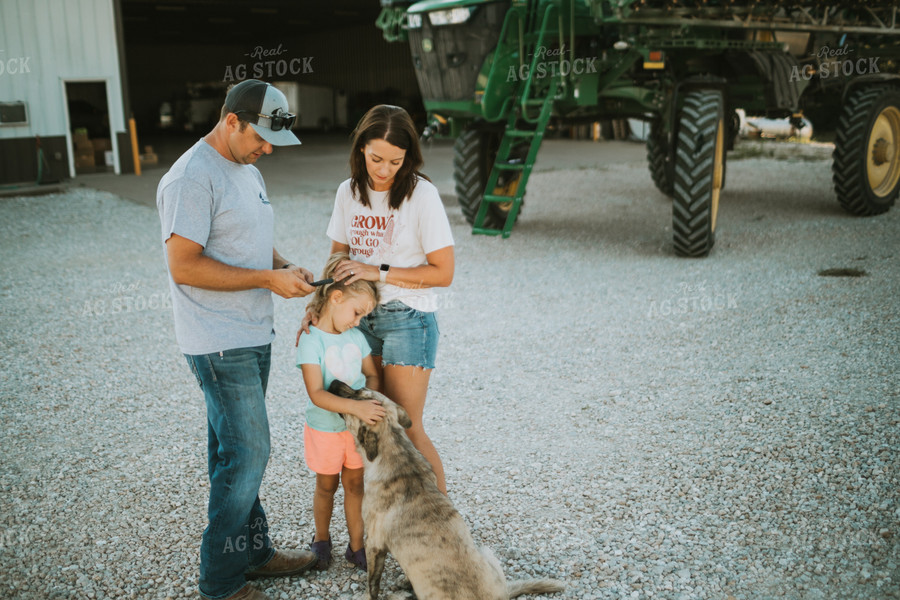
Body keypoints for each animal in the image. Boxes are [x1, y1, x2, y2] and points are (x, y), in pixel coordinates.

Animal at [326, 382, 568, 596]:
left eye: (356, 394)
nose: (334, 382)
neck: (396, 450)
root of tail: (502, 596)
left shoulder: (374, 544)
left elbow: (373, 584)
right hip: (485, 553)